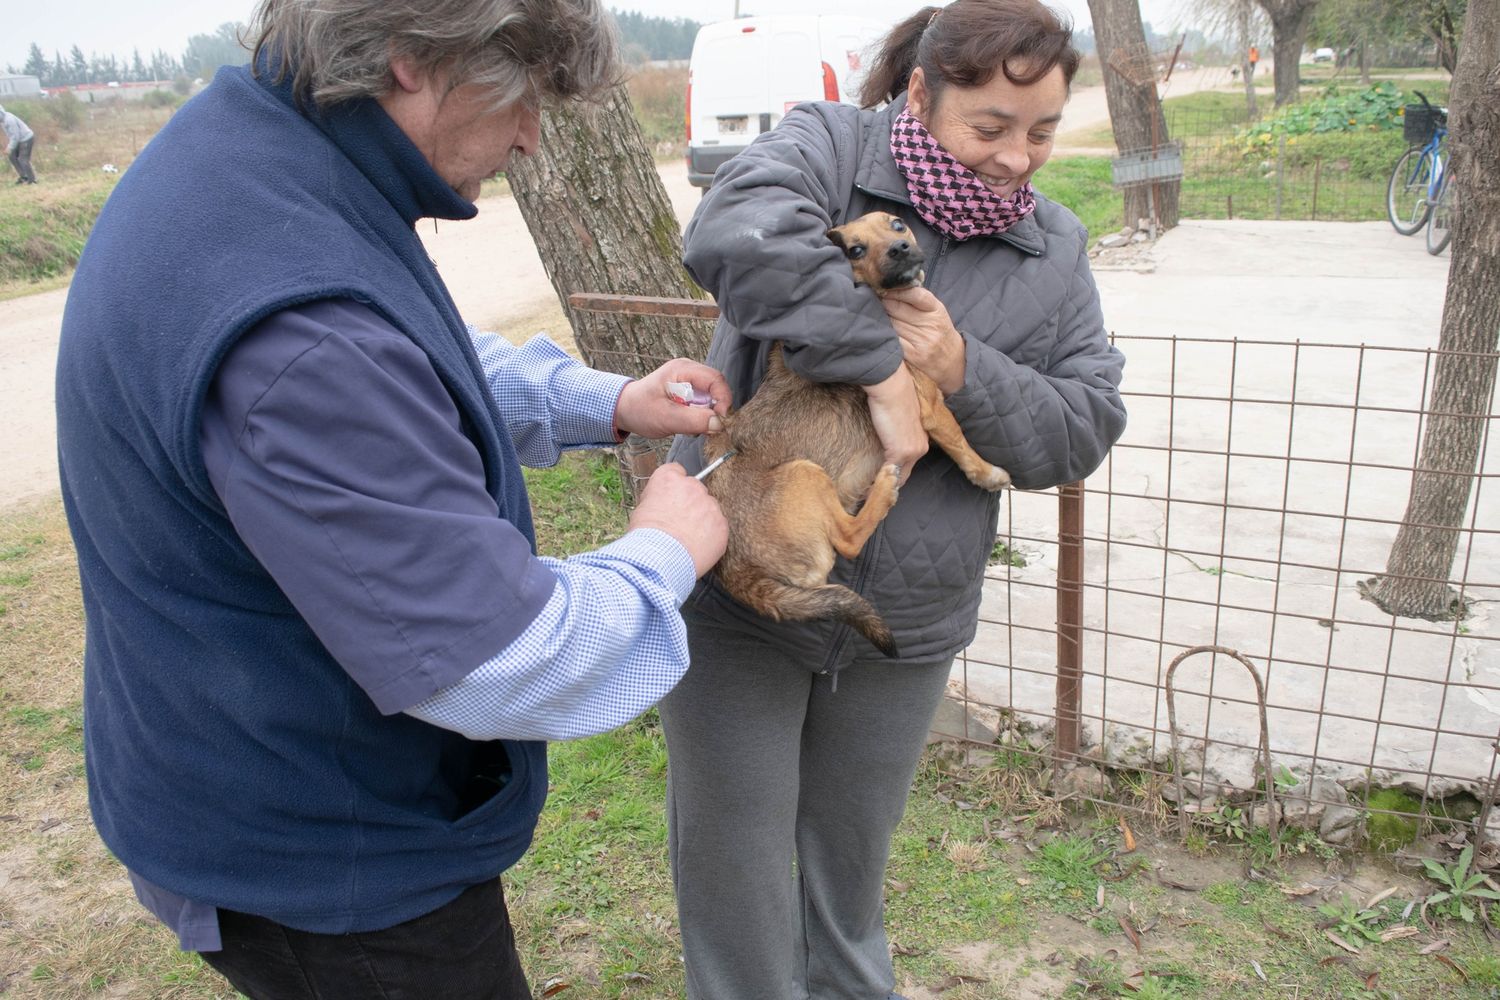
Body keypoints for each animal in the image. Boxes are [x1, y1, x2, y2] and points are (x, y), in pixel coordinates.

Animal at [699, 209, 1008, 656]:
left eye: (896, 225)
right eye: (856, 250)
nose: (900, 248)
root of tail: (737, 571)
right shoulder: (931, 407)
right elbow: (962, 446)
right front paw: (989, 474)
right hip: (805, 473)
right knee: (847, 538)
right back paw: (883, 490)